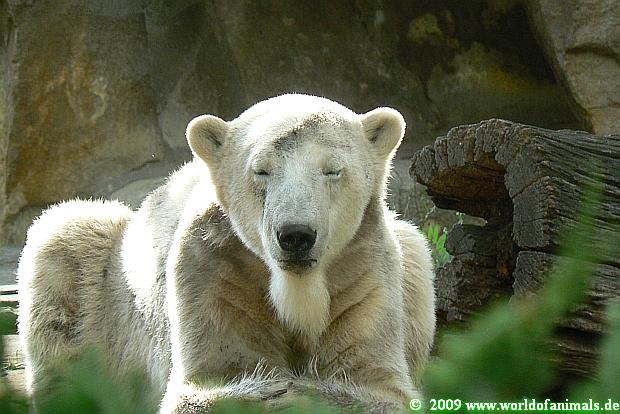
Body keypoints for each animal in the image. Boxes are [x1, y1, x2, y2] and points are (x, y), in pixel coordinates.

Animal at [17, 94, 436, 413]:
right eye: (261, 170)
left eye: (333, 170)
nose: (296, 235)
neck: (296, 287)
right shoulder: (214, 269)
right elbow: (202, 383)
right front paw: (270, 390)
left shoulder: (362, 270)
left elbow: (378, 386)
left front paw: (300, 390)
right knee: (64, 244)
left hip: (409, 254)